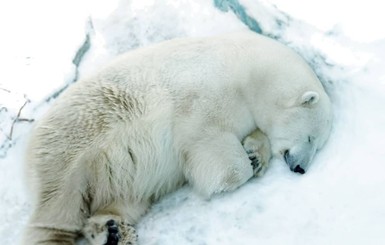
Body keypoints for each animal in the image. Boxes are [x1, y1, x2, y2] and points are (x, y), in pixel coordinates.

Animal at [22, 31, 332, 244]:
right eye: (312, 138)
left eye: (317, 144)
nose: (301, 168)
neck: (248, 69)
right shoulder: (204, 94)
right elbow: (208, 142)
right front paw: (229, 176)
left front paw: (255, 156)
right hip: (76, 139)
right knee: (58, 205)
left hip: (117, 177)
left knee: (123, 199)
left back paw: (112, 230)